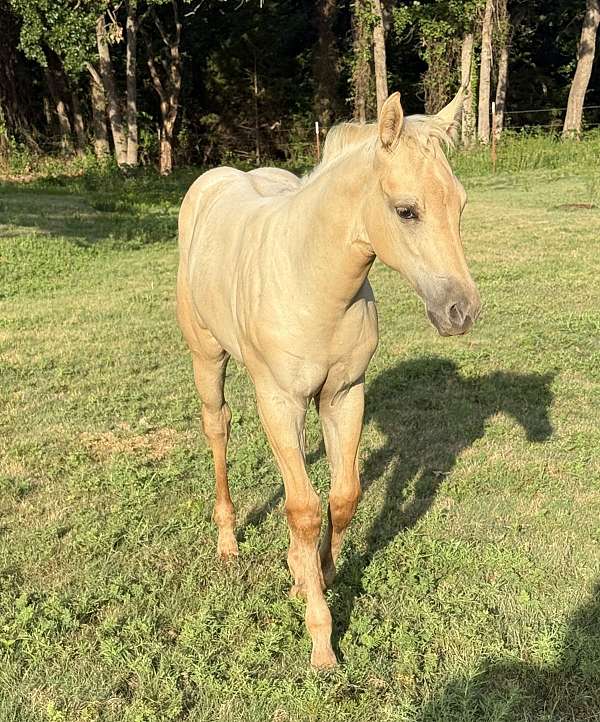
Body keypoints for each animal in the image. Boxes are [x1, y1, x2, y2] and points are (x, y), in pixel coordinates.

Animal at [176, 88, 481, 668]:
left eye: (460, 205)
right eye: (406, 210)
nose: (462, 312)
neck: (312, 282)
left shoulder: (343, 395)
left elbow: (343, 497)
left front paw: (317, 571)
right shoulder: (280, 401)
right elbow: (303, 510)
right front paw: (321, 638)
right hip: (208, 357)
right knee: (218, 428)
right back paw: (227, 541)